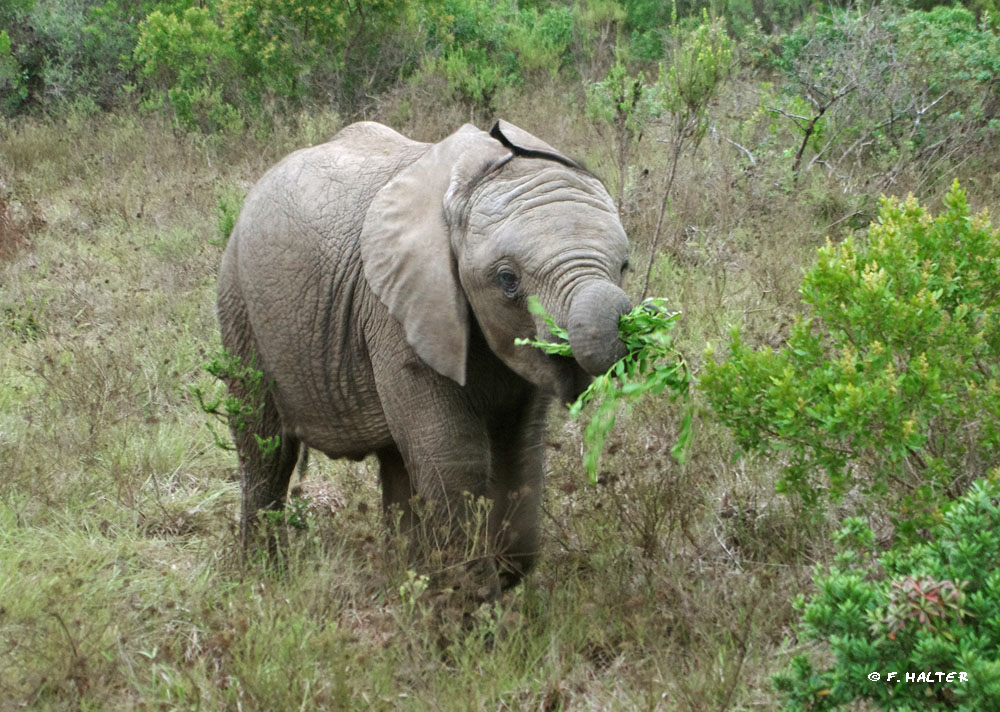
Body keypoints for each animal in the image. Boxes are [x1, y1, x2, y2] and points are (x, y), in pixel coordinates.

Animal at [217, 118, 632, 596]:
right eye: (507, 280)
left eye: (624, 266)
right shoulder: (397, 310)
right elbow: (454, 457)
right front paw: (470, 600)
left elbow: (520, 448)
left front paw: (494, 578)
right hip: (239, 304)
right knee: (265, 447)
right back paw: (264, 578)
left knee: (395, 460)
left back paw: (405, 580)